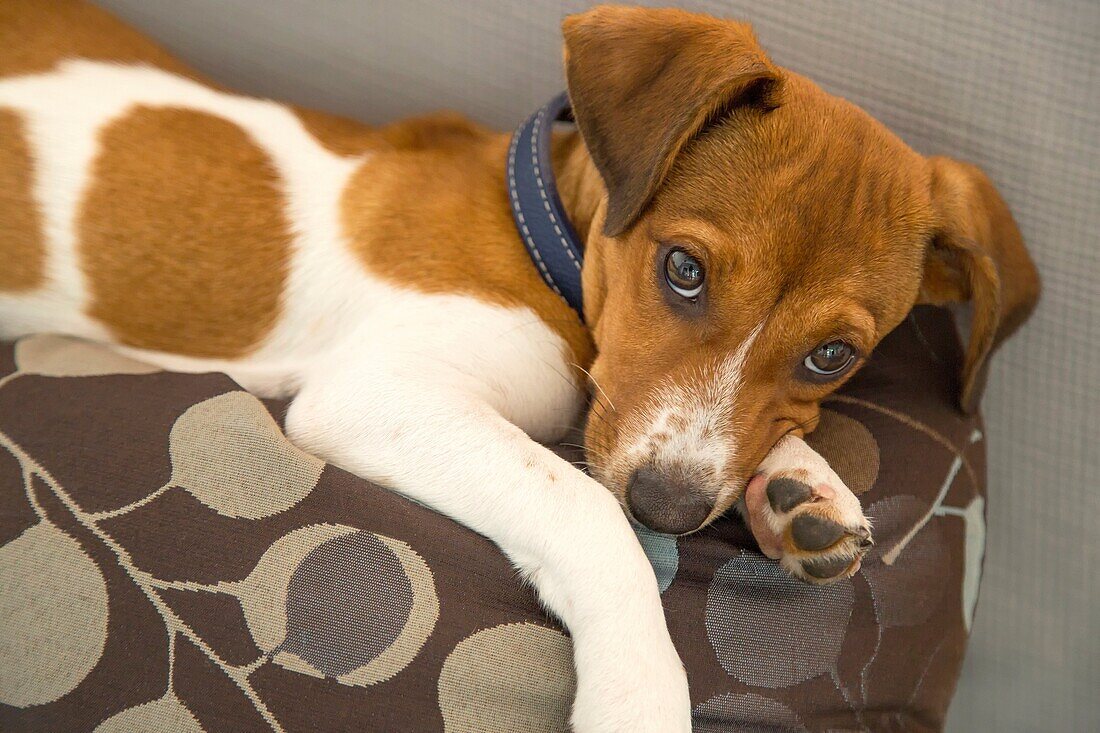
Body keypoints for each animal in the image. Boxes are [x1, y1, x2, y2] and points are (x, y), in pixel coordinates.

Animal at [0, 2, 1038, 726]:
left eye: (832, 355)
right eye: (684, 269)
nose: (668, 508)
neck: (552, 249)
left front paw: (800, 485)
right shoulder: (381, 391)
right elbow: (581, 504)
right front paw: (641, 694)